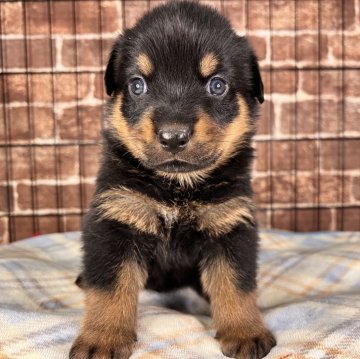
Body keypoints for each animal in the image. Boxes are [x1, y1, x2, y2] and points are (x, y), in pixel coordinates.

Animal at [70, 0, 276, 359]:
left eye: (217, 85)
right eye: (138, 85)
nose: (173, 136)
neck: (176, 187)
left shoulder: (229, 223)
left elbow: (235, 284)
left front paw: (245, 331)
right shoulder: (116, 219)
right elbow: (109, 289)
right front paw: (103, 337)